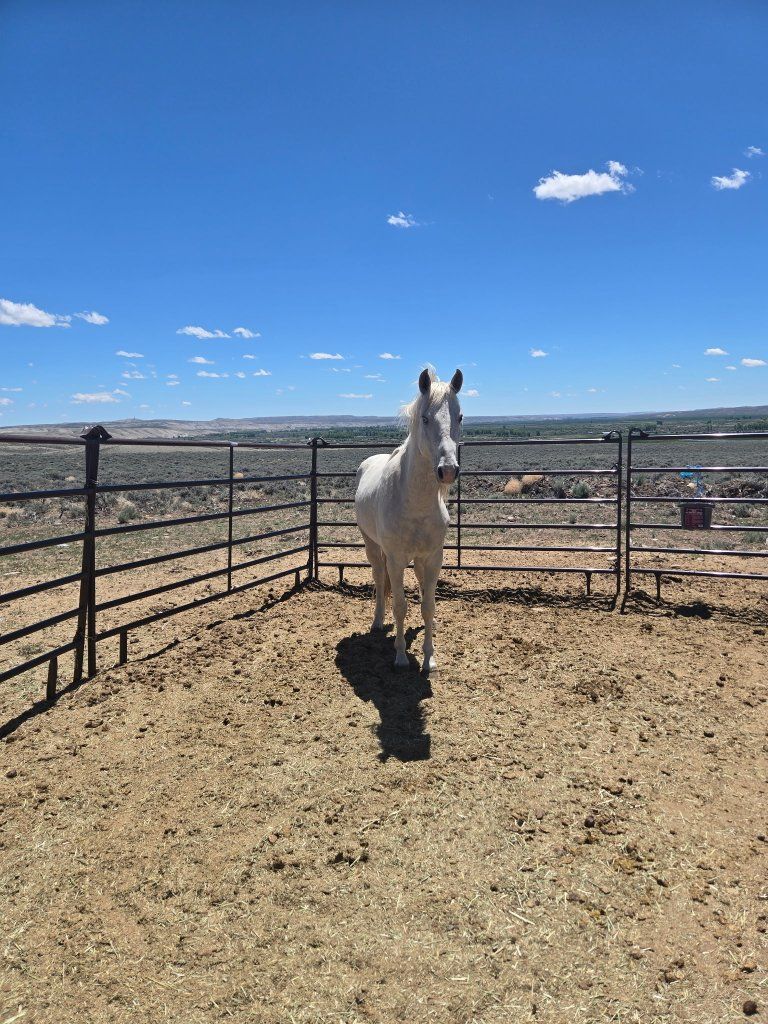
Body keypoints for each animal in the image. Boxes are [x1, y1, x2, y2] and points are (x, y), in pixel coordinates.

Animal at [354, 367, 463, 672]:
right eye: (425, 418)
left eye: (460, 416)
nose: (447, 471)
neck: (415, 502)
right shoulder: (395, 559)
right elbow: (400, 606)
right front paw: (401, 656)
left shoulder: (433, 558)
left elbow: (428, 605)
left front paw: (429, 658)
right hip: (372, 547)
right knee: (379, 580)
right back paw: (378, 622)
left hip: (418, 560)